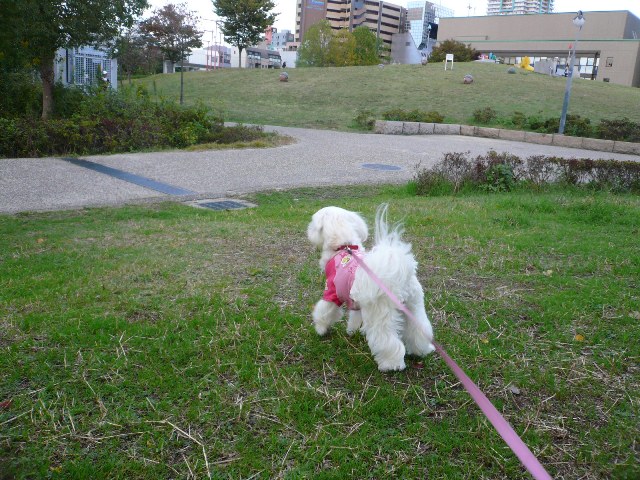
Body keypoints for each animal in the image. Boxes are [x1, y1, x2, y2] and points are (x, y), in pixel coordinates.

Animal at [307, 204, 435, 372]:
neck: (343, 246)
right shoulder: (356, 299)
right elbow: (355, 317)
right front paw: (352, 330)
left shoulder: (332, 291)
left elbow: (324, 310)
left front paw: (321, 329)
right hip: (414, 304)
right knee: (419, 329)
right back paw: (421, 350)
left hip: (381, 312)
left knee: (386, 340)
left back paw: (391, 364)